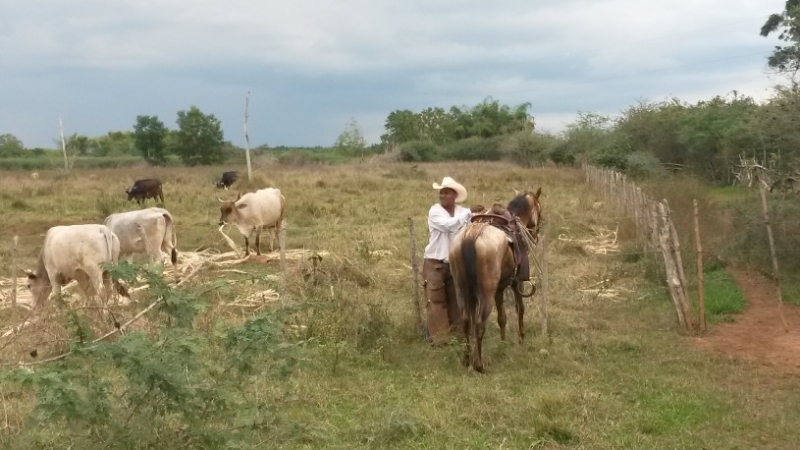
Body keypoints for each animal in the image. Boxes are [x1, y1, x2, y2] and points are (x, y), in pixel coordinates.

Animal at [450, 186, 544, 372]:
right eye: (539, 209)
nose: (535, 233)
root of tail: (471, 235)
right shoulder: (516, 282)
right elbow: (520, 309)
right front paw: (521, 338)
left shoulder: (499, 289)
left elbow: (502, 318)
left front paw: (503, 344)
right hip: (486, 292)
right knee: (479, 323)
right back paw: (479, 365)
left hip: (462, 290)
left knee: (466, 321)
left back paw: (467, 359)